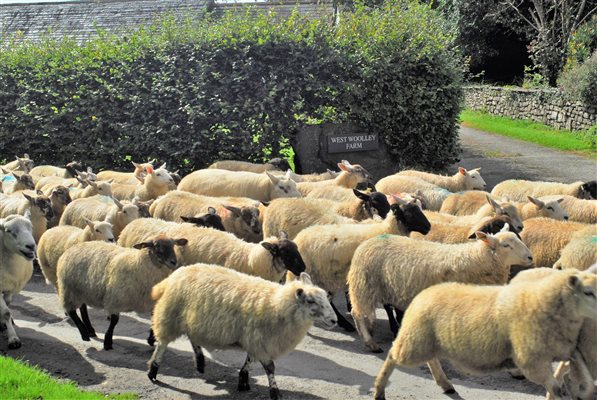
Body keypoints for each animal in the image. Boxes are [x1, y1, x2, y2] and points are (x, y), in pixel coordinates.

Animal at [0, 214, 36, 348]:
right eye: (9, 231)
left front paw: (3, 324)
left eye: (31, 227)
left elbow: (7, 306)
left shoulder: (9, 288)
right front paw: (13, 339)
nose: (31, 246)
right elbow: (6, 312)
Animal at [56, 234, 186, 350]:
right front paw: (108, 342)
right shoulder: (115, 299)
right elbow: (114, 321)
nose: (174, 262)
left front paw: (151, 339)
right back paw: (84, 334)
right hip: (69, 289)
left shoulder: (152, 302)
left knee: (83, 309)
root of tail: (72, 248)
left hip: (82, 291)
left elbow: (153, 318)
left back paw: (90, 330)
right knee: (72, 312)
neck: (139, 264)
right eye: (156, 246)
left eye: (173, 245)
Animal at [144, 264, 330, 398]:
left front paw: (243, 380)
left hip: (191, 320)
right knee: (162, 343)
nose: (334, 320)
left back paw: (200, 362)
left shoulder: (255, 340)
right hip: (170, 316)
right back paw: (153, 371)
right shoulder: (261, 341)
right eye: (311, 301)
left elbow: (249, 361)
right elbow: (270, 368)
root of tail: (173, 276)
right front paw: (275, 392)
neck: (276, 303)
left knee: (192, 337)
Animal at [346, 227, 532, 352]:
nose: (530, 257)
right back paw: (370, 342)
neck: (477, 258)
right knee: (357, 313)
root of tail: (366, 243)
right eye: (506, 245)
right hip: (364, 285)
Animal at [372, 268, 596, 398]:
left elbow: (579, 372)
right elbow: (555, 387)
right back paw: (379, 389)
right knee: (392, 355)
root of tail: (423, 294)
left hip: (426, 340)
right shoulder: (532, 360)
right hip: (414, 341)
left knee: (432, 359)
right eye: (588, 292)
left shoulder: (568, 351)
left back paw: (445, 384)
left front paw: (583, 389)